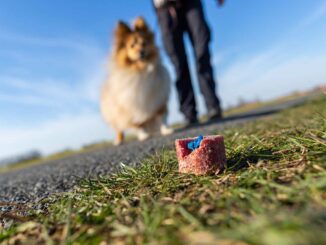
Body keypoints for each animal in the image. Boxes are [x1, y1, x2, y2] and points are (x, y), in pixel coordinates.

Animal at [100, 17, 173, 145]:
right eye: (132, 45)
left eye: (144, 43)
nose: (141, 52)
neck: (141, 70)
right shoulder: (132, 106)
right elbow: (139, 124)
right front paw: (144, 135)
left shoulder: (159, 99)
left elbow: (162, 117)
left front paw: (166, 130)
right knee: (118, 128)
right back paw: (118, 140)